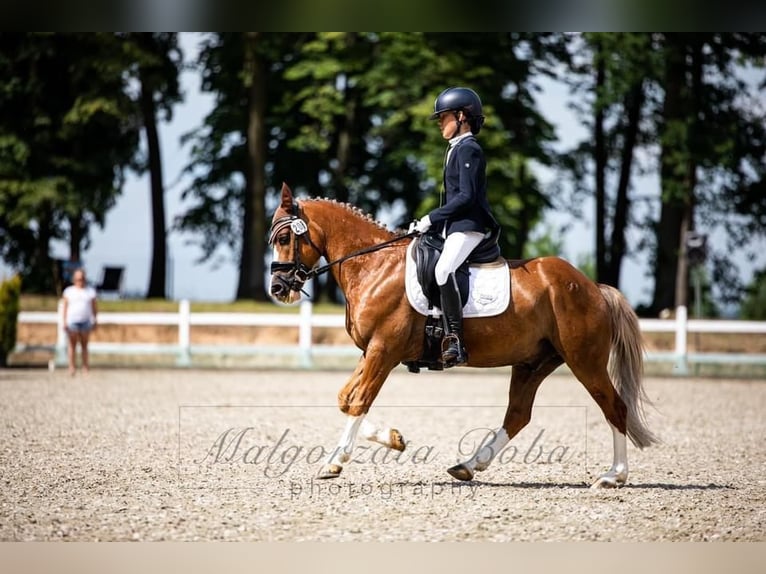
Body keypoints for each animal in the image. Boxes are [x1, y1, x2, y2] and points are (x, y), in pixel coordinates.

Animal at [268, 182, 658, 488]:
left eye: (285, 237)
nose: (277, 288)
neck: (374, 266)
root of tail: (593, 286)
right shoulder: (372, 351)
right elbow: (345, 398)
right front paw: (394, 439)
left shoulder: (384, 350)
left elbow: (359, 400)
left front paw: (333, 462)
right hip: (534, 362)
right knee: (518, 415)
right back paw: (469, 466)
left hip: (584, 361)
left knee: (614, 406)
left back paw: (613, 476)